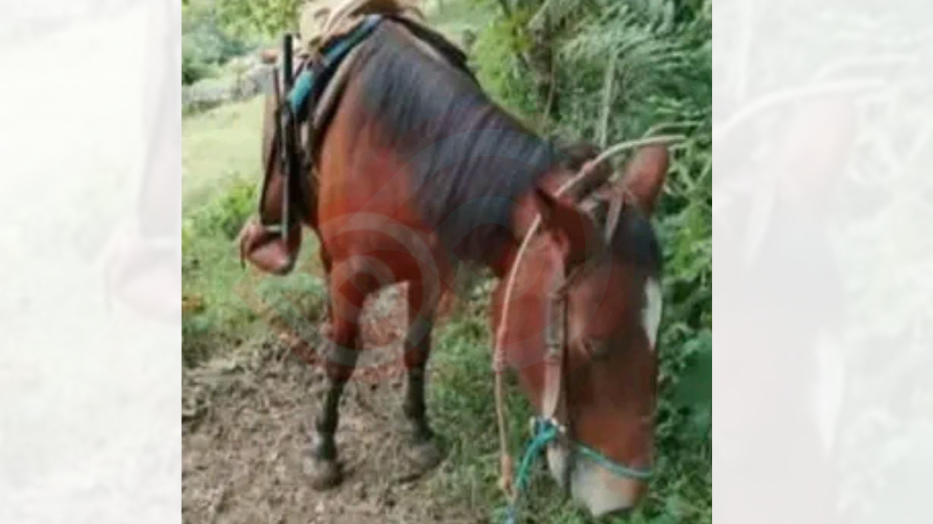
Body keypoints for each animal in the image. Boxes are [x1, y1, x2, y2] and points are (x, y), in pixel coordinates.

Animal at [238, 12, 669, 518]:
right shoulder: (350, 275)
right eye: (593, 346)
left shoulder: (428, 274)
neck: (404, 153)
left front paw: (419, 432)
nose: (622, 499)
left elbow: (415, 349)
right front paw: (323, 449)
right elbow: (342, 357)